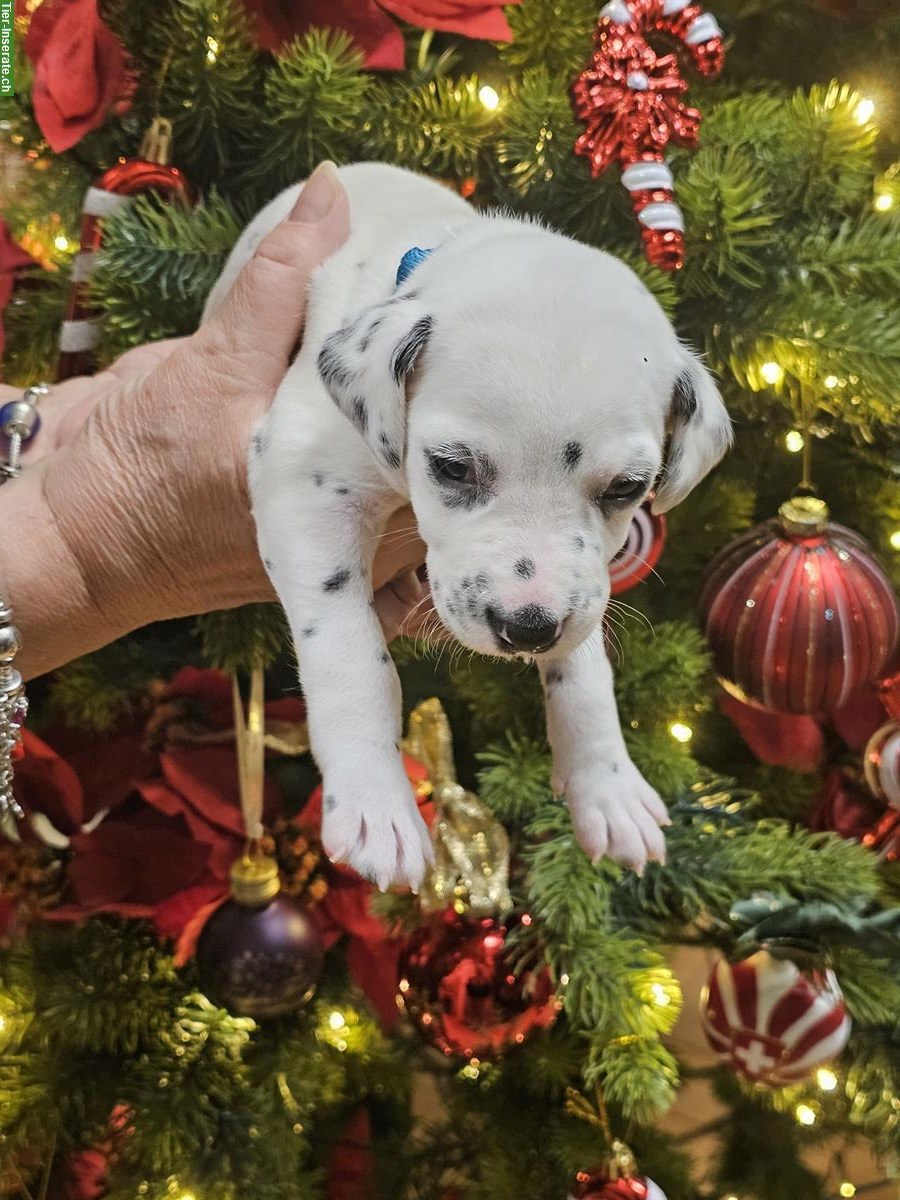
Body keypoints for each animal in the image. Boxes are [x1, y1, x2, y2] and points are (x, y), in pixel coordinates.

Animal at [206, 159, 734, 892]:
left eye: (628, 488)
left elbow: (585, 666)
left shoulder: (582, 586)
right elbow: (352, 654)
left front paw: (606, 782)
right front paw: (375, 799)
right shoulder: (304, 481)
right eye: (452, 468)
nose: (528, 629)